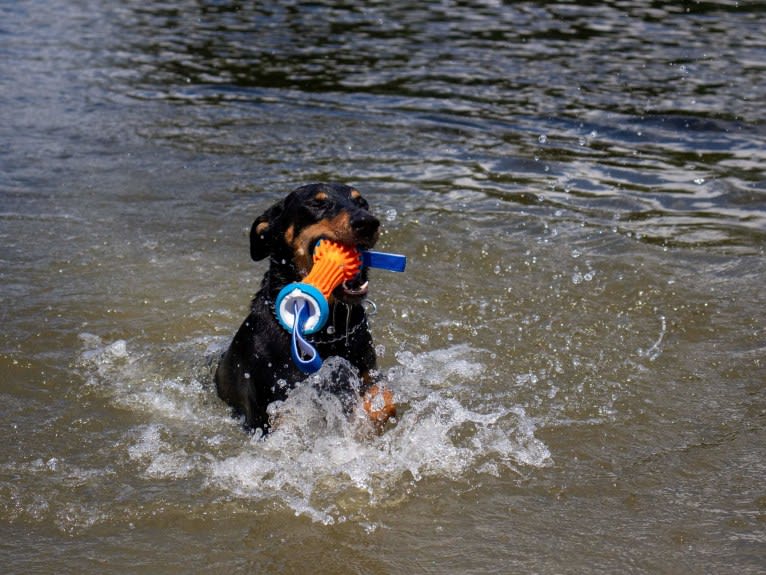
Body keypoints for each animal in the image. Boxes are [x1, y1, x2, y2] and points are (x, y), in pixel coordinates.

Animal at [214, 182, 396, 434]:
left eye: (362, 202)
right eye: (317, 203)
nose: (367, 222)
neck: (327, 331)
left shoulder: (367, 371)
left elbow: (385, 399)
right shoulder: (266, 410)